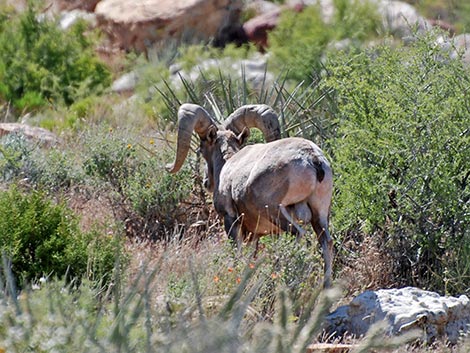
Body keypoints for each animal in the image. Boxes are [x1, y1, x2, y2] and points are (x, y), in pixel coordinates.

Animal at [166, 102, 334, 286]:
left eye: (201, 150)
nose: (206, 183)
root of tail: (311, 158)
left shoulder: (231, 220)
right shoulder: (257, 234)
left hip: (276, 212)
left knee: (298, 235)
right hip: (320, 215)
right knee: (326, 242)